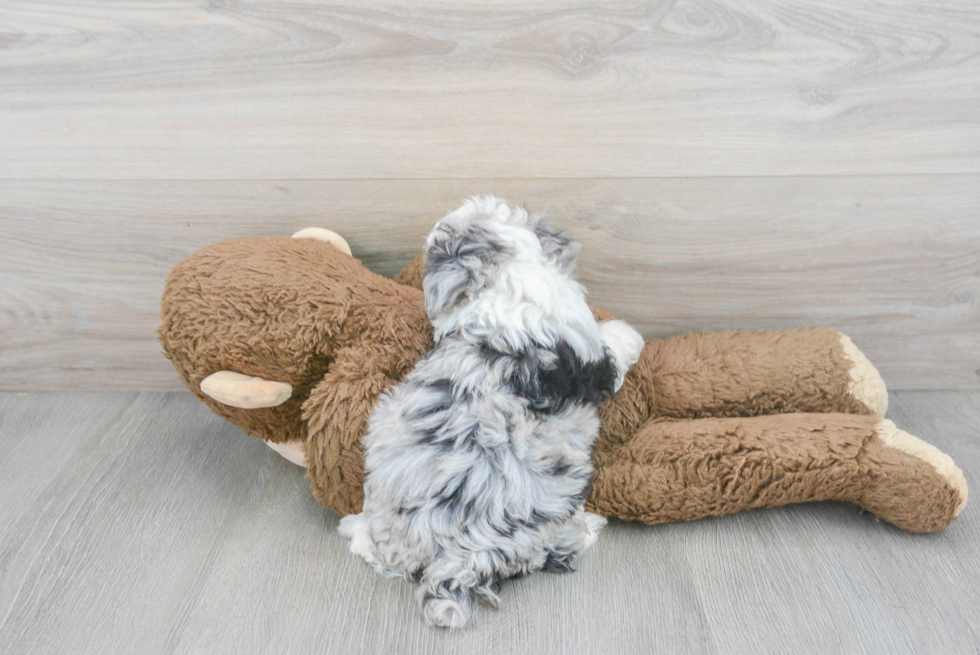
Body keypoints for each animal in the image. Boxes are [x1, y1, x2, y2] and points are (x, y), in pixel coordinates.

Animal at [340, 199, 648, 632]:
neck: (506, 278)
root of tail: (460, 555)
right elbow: (614, 346)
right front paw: (628, 334)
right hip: (550, 508)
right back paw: (587, 528)